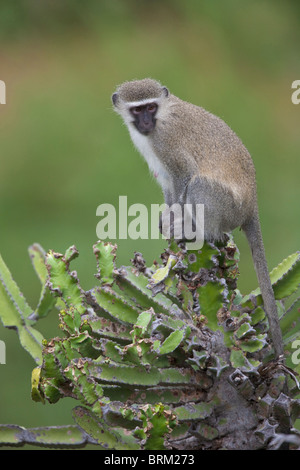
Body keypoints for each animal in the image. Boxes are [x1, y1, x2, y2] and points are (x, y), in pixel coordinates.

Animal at [111, 78, 282, 356]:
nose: (146, 122)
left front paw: (179, 221)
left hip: (227, 208)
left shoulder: (166, 141)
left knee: (199, 186)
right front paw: (168, 219)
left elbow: (184, 176)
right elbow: (168, 183)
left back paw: (197, 231)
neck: (162, 116)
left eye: (151, 107)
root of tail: (251, 206)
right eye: (138, 110)